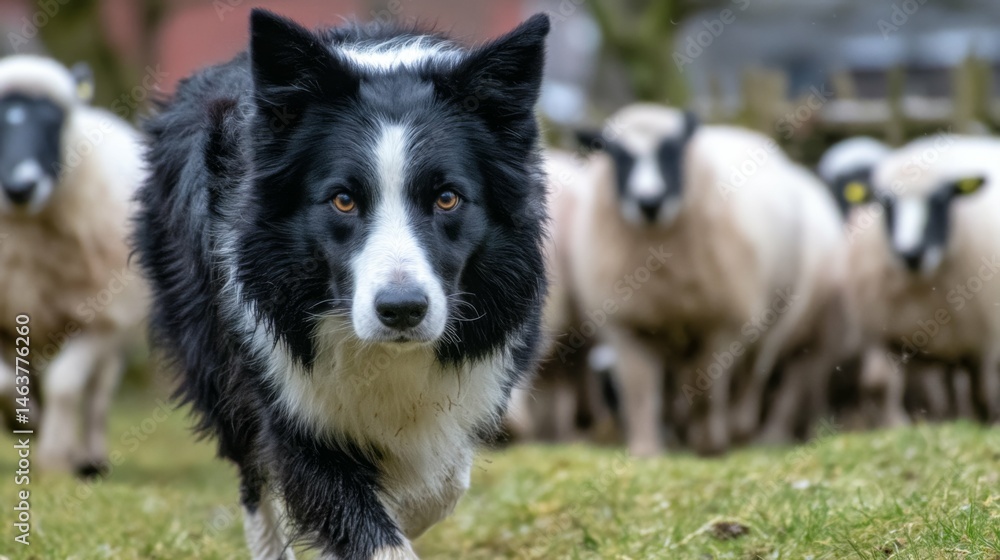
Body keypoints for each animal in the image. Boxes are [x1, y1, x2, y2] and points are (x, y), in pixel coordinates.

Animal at [0, 55, 147, 475]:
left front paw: (53, 459)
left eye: (54, 122)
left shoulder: (101, 319)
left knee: (96, 397)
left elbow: (65, 385)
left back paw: (90, 459)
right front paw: (25, 422)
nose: (20, 188)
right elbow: (3, 384)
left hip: (116, 333)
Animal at [571, 103, 845, 455]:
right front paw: (646, 450)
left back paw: (740, 430)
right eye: (616, 155)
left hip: (778, 324)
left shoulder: (721, 325)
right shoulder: (629, 325)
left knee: (756, 377)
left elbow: (706, 387)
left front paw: (709, 444)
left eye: (672, 150)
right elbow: (640, 390)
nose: (649, 202)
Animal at [843, 134, 1000, 426]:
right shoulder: (881, 333)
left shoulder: (982, 341)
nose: (911, 253)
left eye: (939, 200)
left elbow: (981, 390)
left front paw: (985, 421)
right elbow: (881, 384)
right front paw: (896, 426)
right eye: (886, 203)